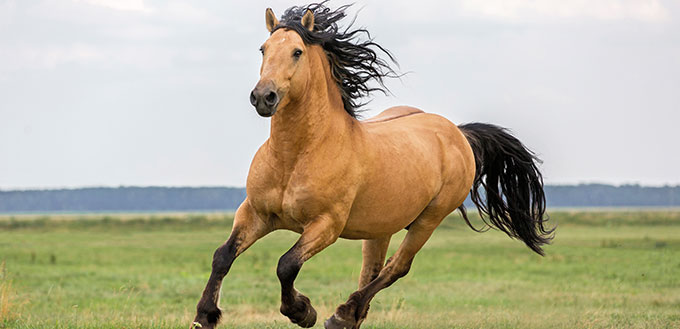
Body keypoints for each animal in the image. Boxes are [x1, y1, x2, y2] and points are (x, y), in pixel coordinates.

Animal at [191, 3, 552, 328]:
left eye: (296, 52)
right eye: (263, 49)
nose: (263, 97)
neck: (296, 156)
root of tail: (457, 133)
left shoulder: (326, 225)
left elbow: (286, 264)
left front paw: (303, 311)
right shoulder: (255, 213)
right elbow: (222, 255)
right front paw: (205, 316)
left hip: (428, 220)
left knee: (396, 268)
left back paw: (341, 315)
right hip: (381, 227)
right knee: (372, 271)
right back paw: (350, 316)